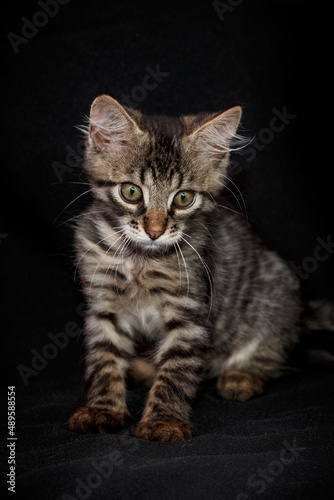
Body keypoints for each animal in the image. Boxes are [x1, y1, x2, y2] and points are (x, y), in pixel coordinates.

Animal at [67, 94, 300, 442]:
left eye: (183, 198)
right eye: (131, 192)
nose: (154, 231)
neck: (140, 259)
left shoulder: (190, 313)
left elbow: (176, 372)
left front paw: (164, 421)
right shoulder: (103, 305)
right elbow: (103, 361)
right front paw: (102, 409)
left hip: (277, 294)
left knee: (269, 354)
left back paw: (241, 377)